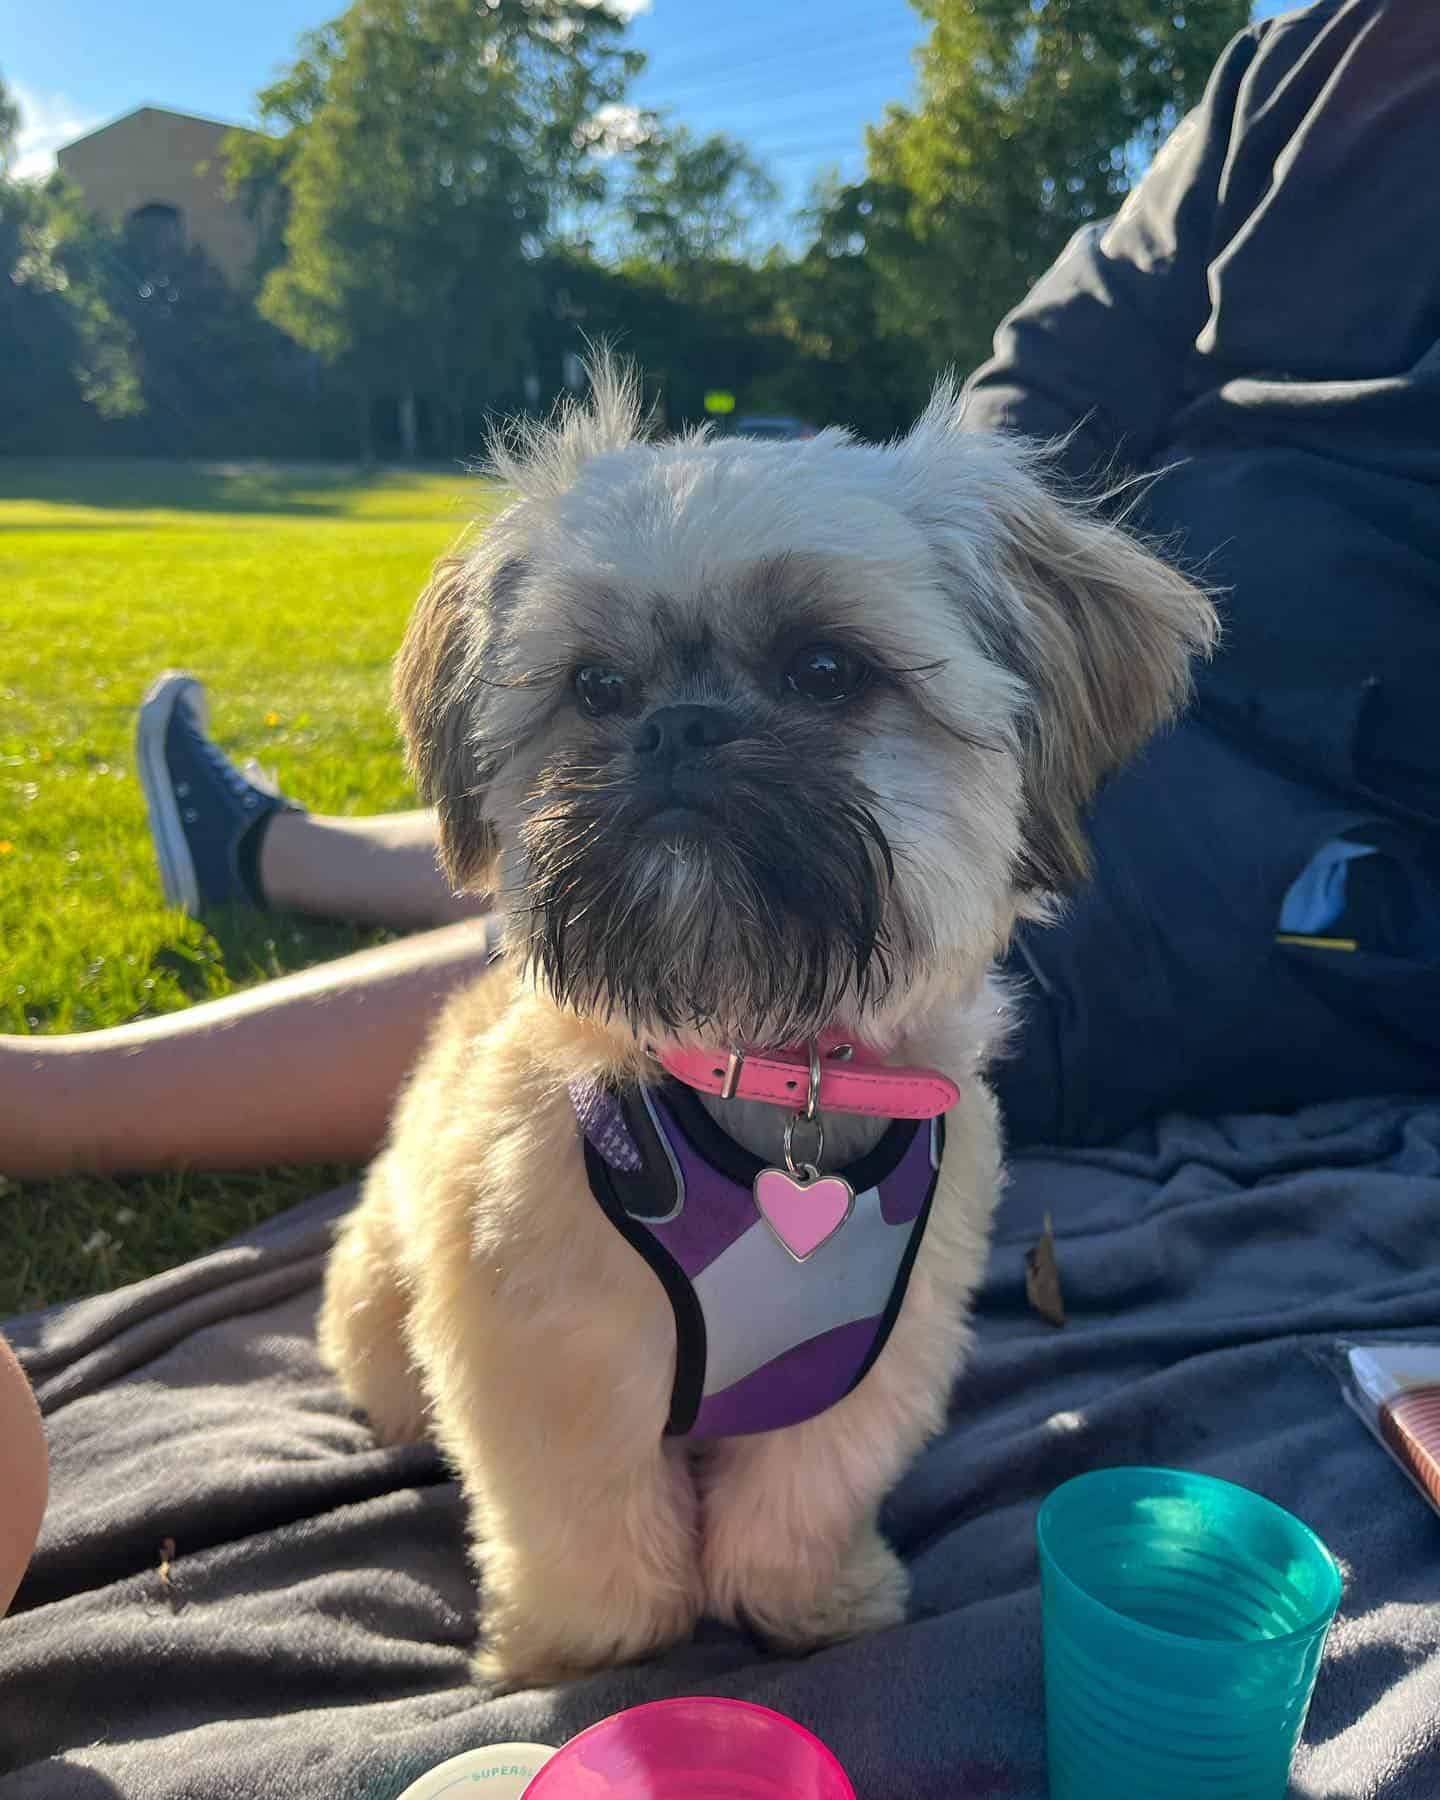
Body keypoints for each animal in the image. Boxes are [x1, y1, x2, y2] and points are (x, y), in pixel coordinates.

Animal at [318, 361, 1216, 1684]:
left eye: (826, 672)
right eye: (596, 687)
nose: (678, 725)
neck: (766, 1069)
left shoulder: (869, 1359)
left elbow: (800, 1498)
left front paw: (808, 1603)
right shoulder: (549, 1363)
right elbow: (586, 1530)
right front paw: (582, 1650)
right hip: (381, 1302)